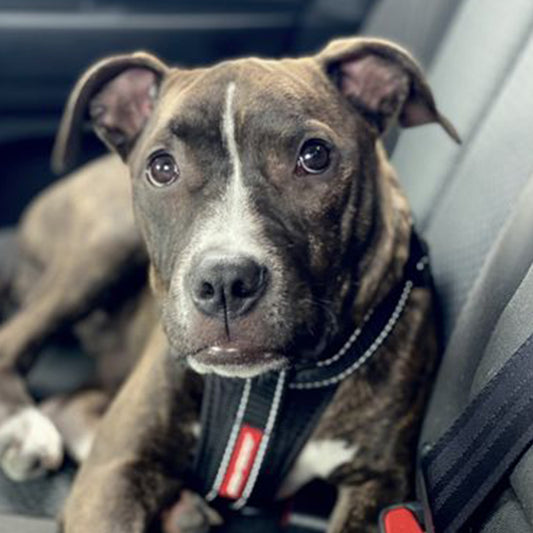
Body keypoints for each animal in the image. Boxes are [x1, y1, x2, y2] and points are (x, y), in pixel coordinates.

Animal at [19, 35, 462, 528]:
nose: (225, 281)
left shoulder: (381, 483)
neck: (267, 386)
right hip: (104, 247)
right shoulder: (114, 470)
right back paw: (23, 431)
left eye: (315, 156)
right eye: (162, 168)